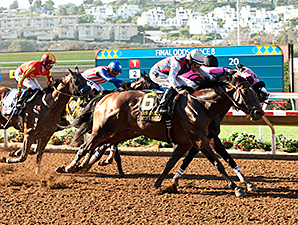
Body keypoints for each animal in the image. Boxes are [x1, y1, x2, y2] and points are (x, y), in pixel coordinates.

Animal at [56, 72, 264, 197]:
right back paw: (70, 167)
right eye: (246, 91)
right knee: (86, 147)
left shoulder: (195, 140)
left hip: (120, 133)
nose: (259, 112)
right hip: (102, 130)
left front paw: (162, 183)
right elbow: (218, 163)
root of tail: (105, 97)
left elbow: (174, 162)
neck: (201, 104)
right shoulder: (199, 139)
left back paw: (78, 166)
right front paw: (237, 188)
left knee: (97, 147)